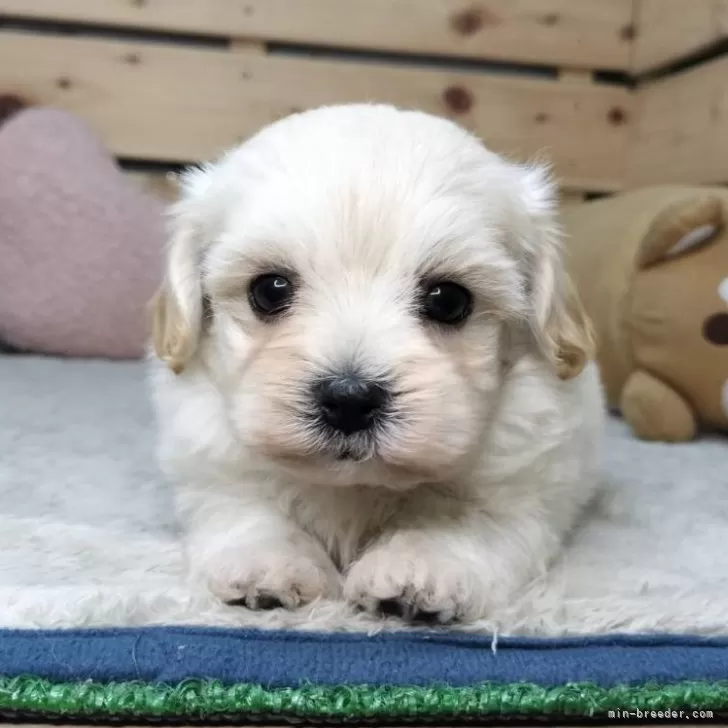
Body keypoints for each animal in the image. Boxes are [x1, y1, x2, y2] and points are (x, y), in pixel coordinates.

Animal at [152, 102, 604, 624]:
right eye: (269, 290)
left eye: (449, 300)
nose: (349, 399)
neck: (356, 485)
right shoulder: (213, 467)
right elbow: (246, 509)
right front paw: (268, 563)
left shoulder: (523, 486)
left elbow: (465, 521)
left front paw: (422, 566)